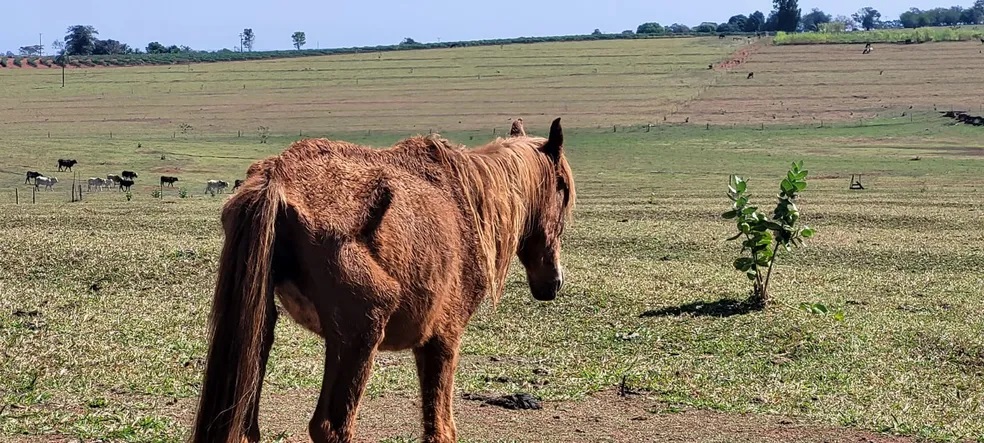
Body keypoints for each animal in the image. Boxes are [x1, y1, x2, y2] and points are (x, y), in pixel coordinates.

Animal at [189, 117, 575, 443]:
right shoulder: (444, 338)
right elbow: (440, 428)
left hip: (265, 328)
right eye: (563, 190)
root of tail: (277, 176)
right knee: (331, 427)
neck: (467, 202)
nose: (552, 282)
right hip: (362, 332)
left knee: (245, 425)